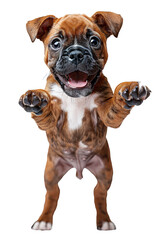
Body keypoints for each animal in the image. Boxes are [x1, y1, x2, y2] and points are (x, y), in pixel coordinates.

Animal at [18, 11, 150, 231]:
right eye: (55, 43)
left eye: (94, 41)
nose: (76, 54)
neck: (76, 96)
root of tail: (78, 166)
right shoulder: (52, 119)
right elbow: (45, 112)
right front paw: (36, 100)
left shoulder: (106, 112)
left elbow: (116, 107)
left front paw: (128, 91)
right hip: (51, 172)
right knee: (52, 193)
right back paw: (44, 219)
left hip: (105, 171)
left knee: (100, 193)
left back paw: (104, 220)